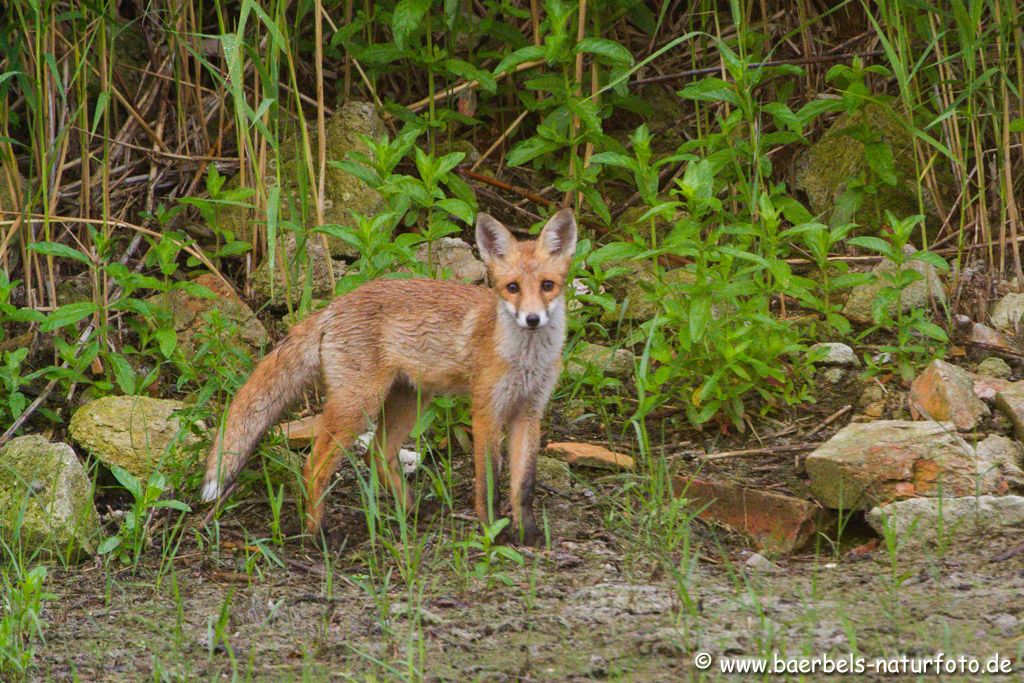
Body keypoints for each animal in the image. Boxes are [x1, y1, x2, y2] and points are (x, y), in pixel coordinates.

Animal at [201, 208, 577, 544]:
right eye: (512, 287)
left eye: (547, 285)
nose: (532, 319)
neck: (525, 360)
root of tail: (332, 307)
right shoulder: (486, 411)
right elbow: (489, 482)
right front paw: (493, 533)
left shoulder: (529, 412)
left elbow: (524, 484)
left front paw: (528, 533)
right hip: (359, 405)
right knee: (314, 465)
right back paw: (318, 535)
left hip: (411, 399)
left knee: (377, 454)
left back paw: (412, 510)